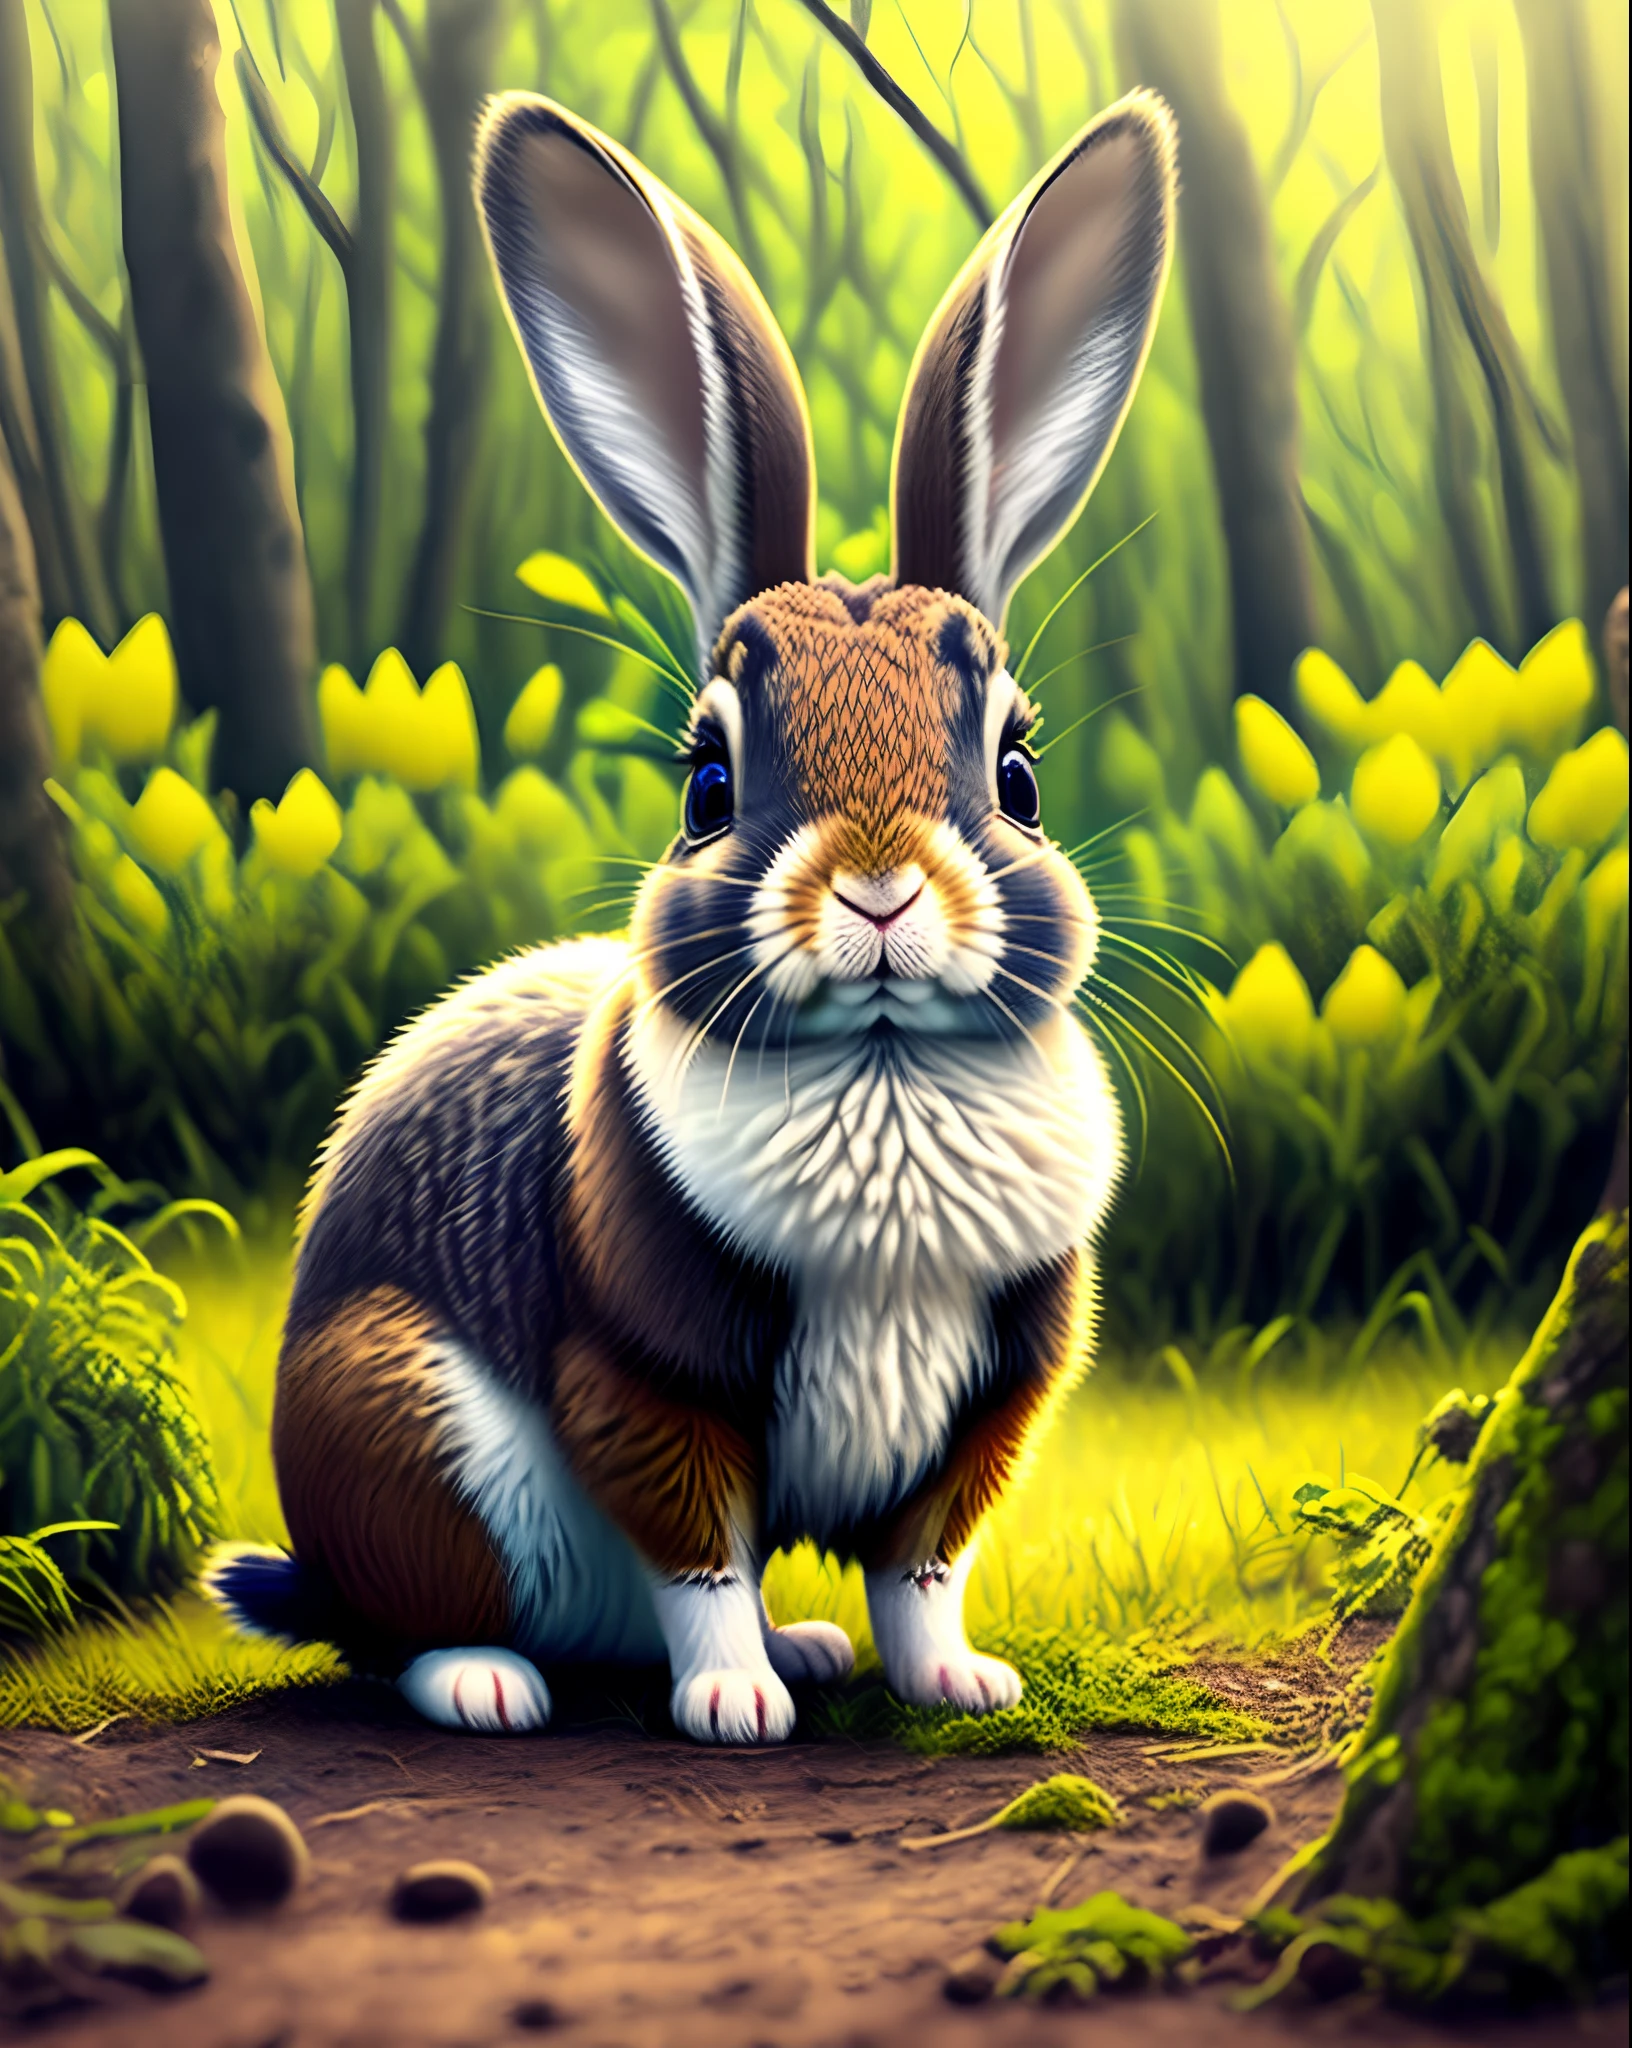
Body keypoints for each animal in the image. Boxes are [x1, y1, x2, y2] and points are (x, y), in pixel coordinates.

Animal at [206, 85, 1177, 1744]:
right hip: (403, 1420)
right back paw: (493, 1686)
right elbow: (699, 1554)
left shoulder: (986, 1400)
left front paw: (954, 1684)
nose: (878, 890)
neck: (882, 1067)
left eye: (1020, 772)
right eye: (708, 779)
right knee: (415, 1621)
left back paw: (813, 1647)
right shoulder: (647, 1380)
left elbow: (923, 1566)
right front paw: (733, 1706)